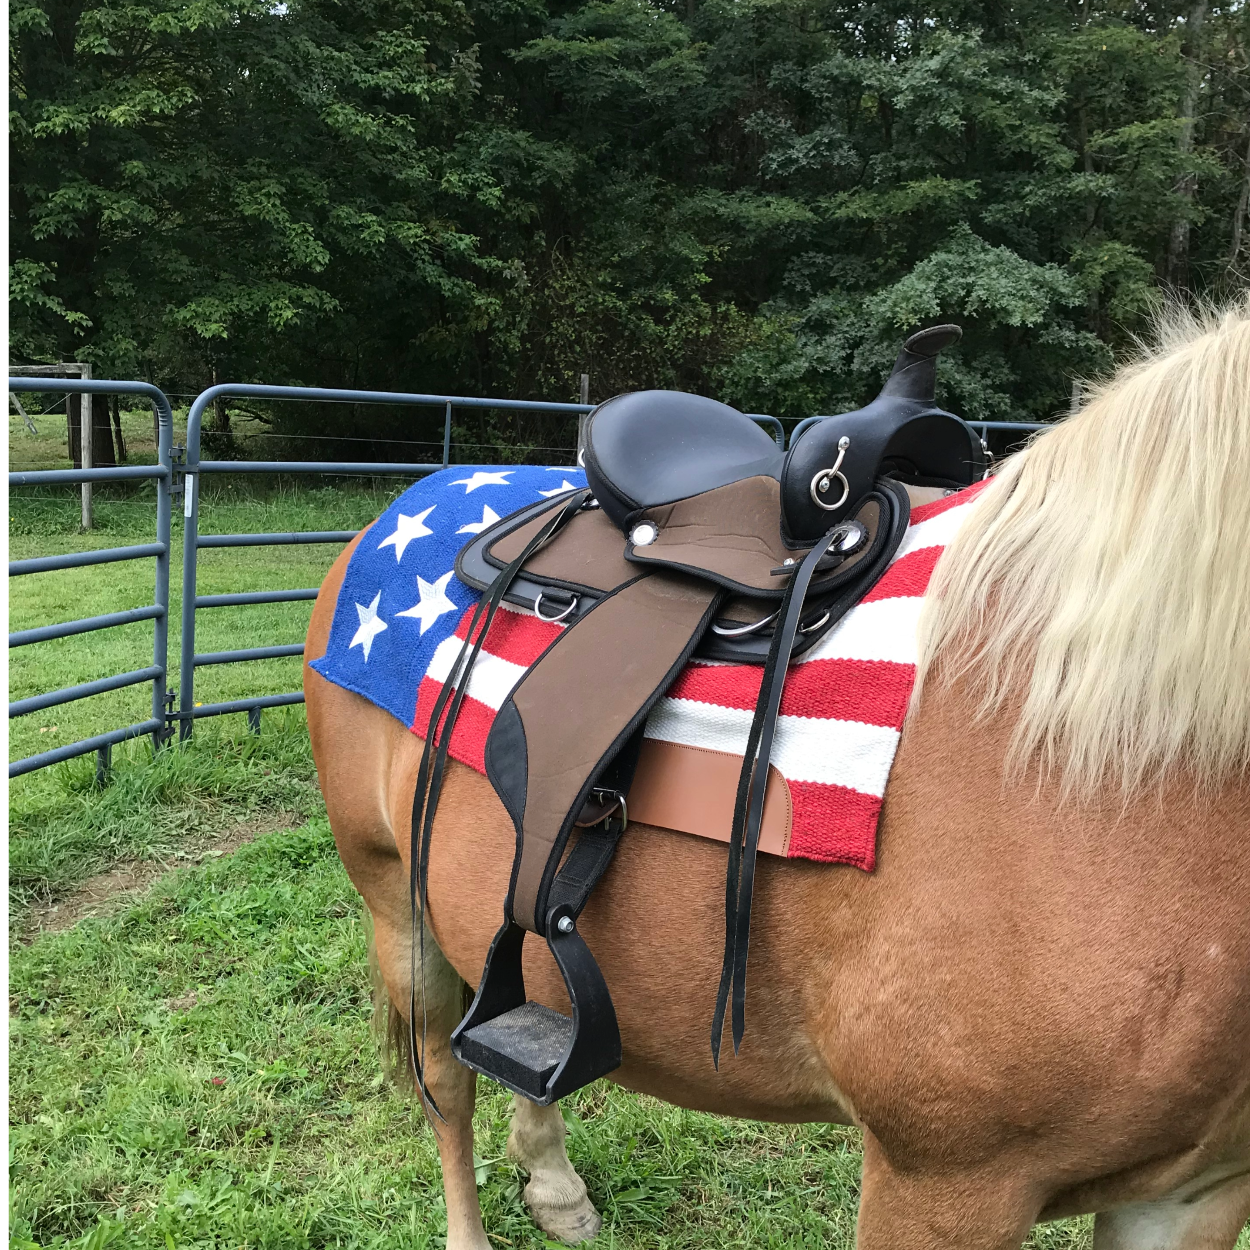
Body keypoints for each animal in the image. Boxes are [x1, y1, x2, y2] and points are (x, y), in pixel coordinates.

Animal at [302, 305, 1250, 1250]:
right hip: (395, 903)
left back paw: (556, 1184)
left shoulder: (1193, 1192)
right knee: (444, 1084)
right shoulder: (944, 1180)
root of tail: (414, 499)